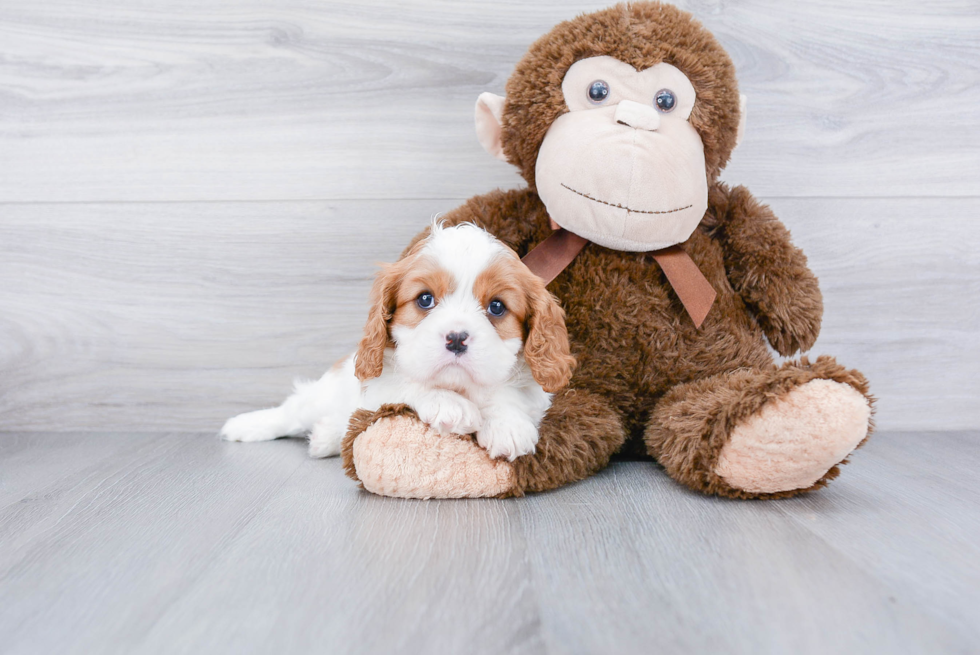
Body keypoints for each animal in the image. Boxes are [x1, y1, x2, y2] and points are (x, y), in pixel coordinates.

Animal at [222, 223, 576, 464]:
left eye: (497, 307)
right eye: (424, 299)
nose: (456, 338)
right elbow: (405, 384)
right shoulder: (375, 385)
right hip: (322, 394)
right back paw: (245, 425)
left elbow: (509, 394)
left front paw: (507, 424)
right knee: (290, 412)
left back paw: (327, 437)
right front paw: (448, 404)